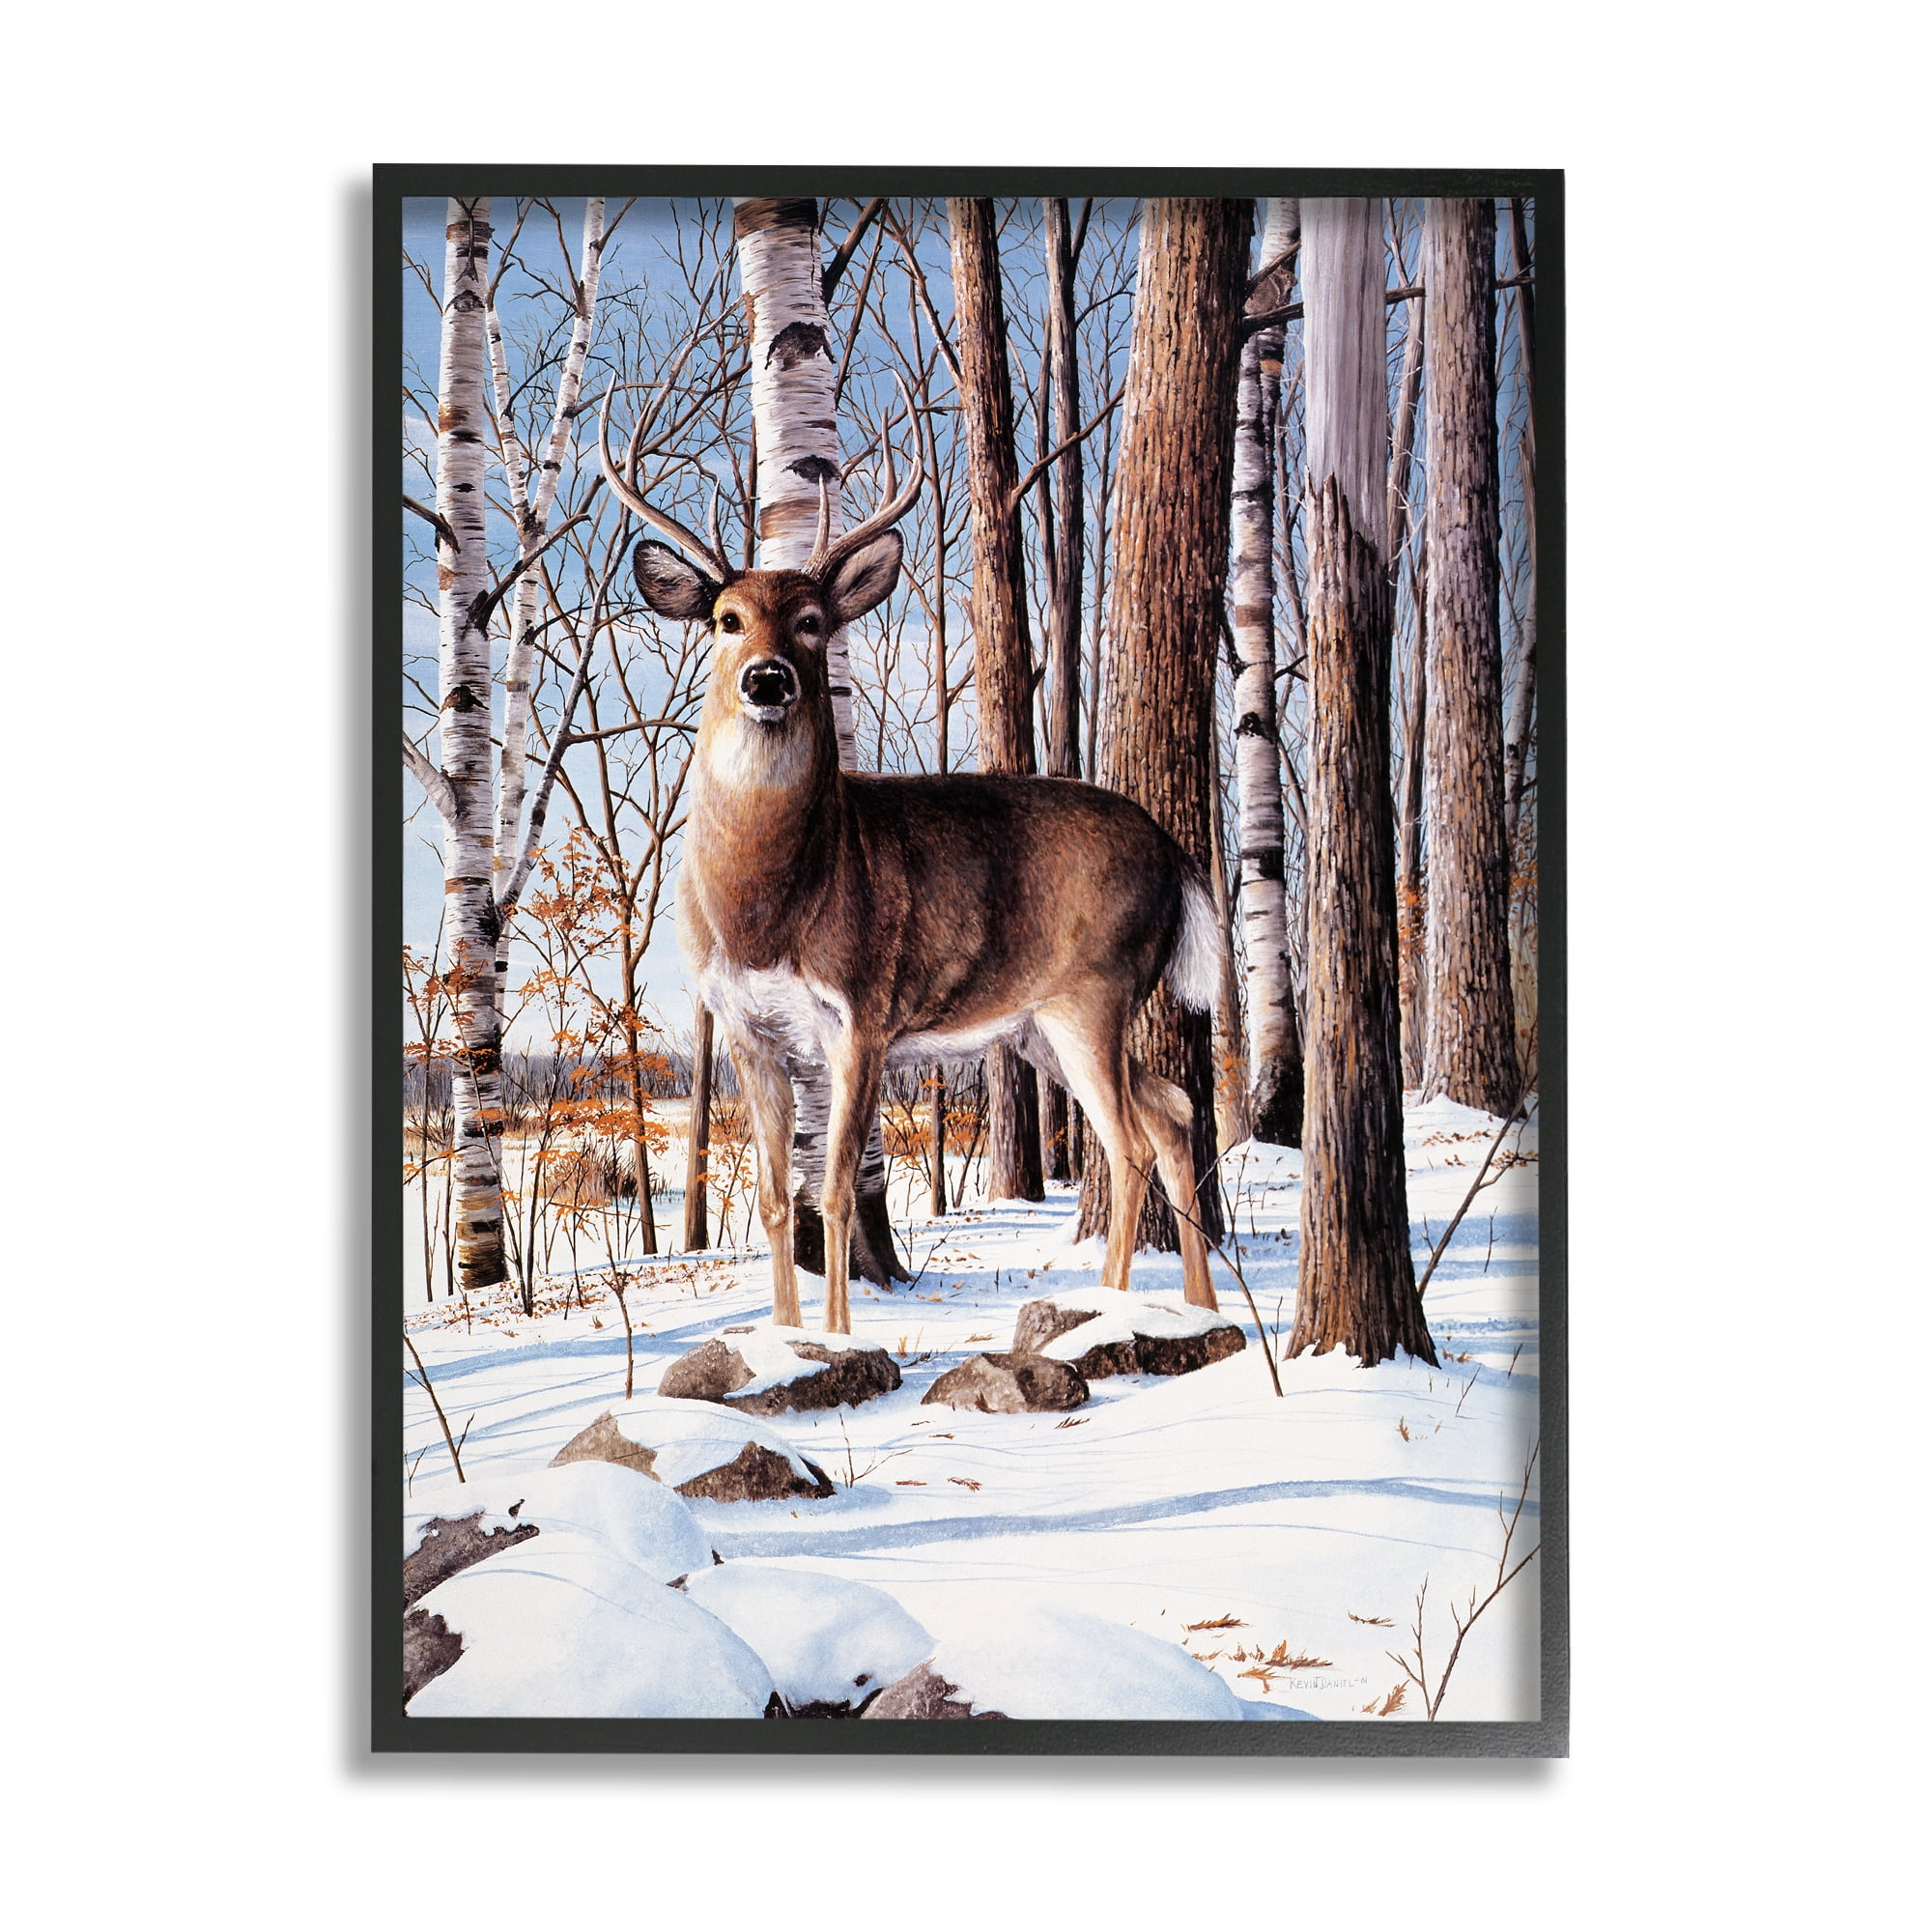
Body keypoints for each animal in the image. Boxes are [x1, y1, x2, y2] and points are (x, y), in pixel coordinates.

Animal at [600, 388, 1223, 1336]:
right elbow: (778, 1200)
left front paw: (833, 1337)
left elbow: (834, 1192)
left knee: (1126, 1143)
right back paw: (1198, 1309)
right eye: (726, 620)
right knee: (1174, 1111)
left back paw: (1115, 1308)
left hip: (1095, 990)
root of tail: (1176, 854)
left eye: (812, 621)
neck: (768, 906)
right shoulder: (746, 1029)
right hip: (1038, 1024)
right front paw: (785, 1337)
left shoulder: (862, 1011)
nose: (768, 679)